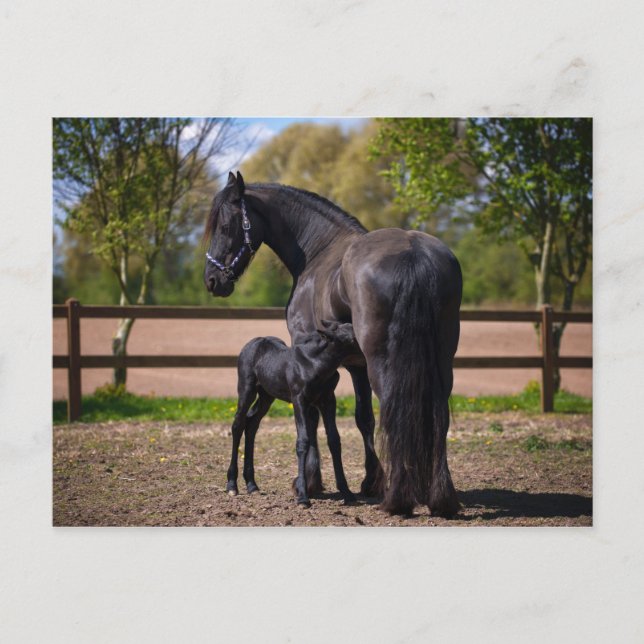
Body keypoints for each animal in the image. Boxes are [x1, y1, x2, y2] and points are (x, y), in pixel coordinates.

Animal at [227, 321, 359, 506]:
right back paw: (232, 485)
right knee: (238, 425)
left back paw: (252, 484)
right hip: (247, 389)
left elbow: (334, 440)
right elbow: (302, 441)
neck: (315, 364)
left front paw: (346, 492)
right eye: (353, 338)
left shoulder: (328, 400)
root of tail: (254, 342)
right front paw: (303, 496)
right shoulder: (299, 400)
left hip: (267, 396)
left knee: (251, 424)